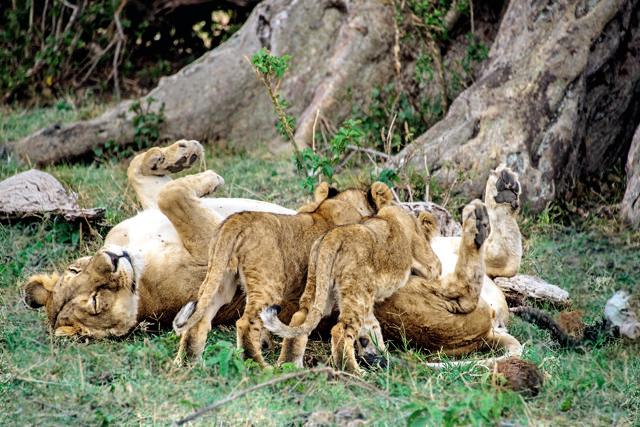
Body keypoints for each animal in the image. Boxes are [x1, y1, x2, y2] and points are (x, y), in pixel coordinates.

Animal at [172, 181, 376, 367]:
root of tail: (236, 220)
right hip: (268, 284)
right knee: (246, 324)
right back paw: (259, 367)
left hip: (221, 279)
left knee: (199, 319)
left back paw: (188, 363)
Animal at [260, 182, 442, 373]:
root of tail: (333, 236)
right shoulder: (429, 261)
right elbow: (435, 267)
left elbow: (373, 327)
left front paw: (379, 355)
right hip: (355, 293)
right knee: (341, 330)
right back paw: (354, 372)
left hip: (319, 285)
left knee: (300, 318)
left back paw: (289, 365)